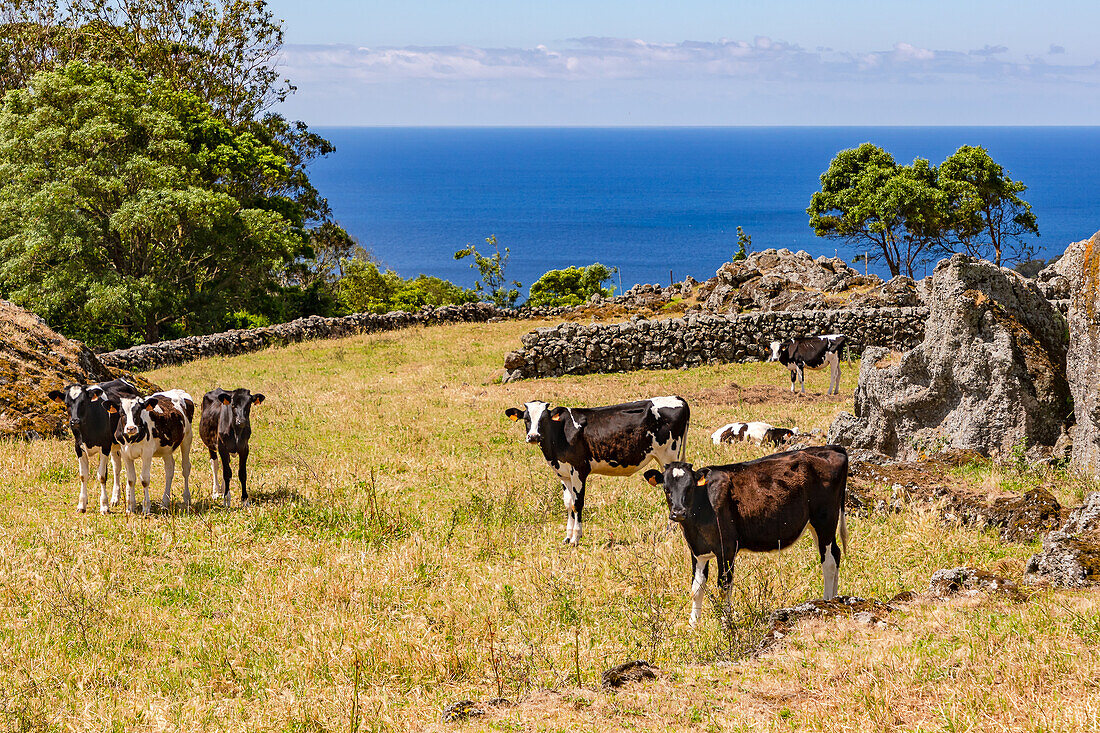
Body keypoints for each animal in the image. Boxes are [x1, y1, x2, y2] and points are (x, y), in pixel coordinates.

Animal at [47, 378, 143, 510]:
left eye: (83, 402)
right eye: (66, 404)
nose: (74, 421)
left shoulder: (105, 446)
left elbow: (102, 476)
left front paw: (104, 506)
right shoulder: (78, 448)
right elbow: (83, 475)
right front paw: (82, 504)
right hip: (114, 447)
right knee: (116, 468)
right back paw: (115, 499)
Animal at [503, 394, 686, 541]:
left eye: (544, 419)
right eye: (526, 419)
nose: (533, 436)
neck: (560, 433)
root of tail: (677, 398)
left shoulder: (579, 469)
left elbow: (577, 503)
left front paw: (576, 538)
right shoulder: (563, 473)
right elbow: (568, 503)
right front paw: (567, 537)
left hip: (668, 457)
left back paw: (670, 532)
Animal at [642, 444, 849, 620]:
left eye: (690, 487)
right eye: (666, 489)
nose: (678, 512)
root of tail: (831, 447)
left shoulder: (726, 549)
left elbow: (724, 586)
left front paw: (726, 624)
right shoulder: (697, 550)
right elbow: (696, 588)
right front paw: (694, 625)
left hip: (825, 519)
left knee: (829, 562)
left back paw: (826, 602)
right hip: (816, 524)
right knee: (835, 554)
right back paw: (835, 599)